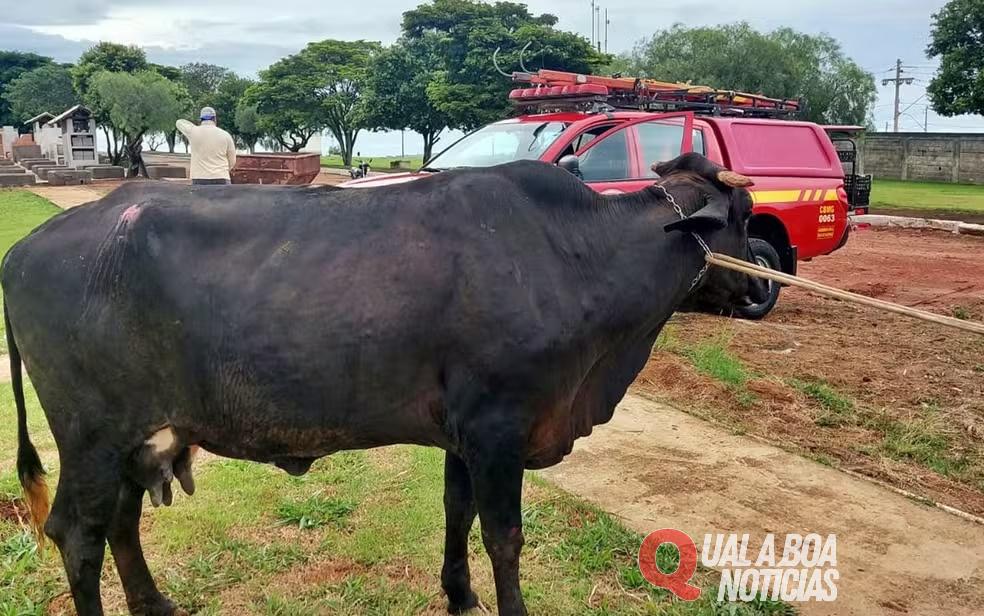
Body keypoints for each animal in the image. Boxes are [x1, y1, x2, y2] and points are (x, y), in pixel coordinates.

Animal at [3, 152, 767, 616]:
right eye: (738, 219)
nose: (765, 288)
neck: (575, 256)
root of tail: (27, 247)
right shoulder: (500, 426)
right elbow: (505, 536)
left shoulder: (465, 431)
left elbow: (459, 511)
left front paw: (458, 594)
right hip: (91, 435)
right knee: (77, 533)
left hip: (137, 438)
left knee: (120, 523)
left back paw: (155, 604)